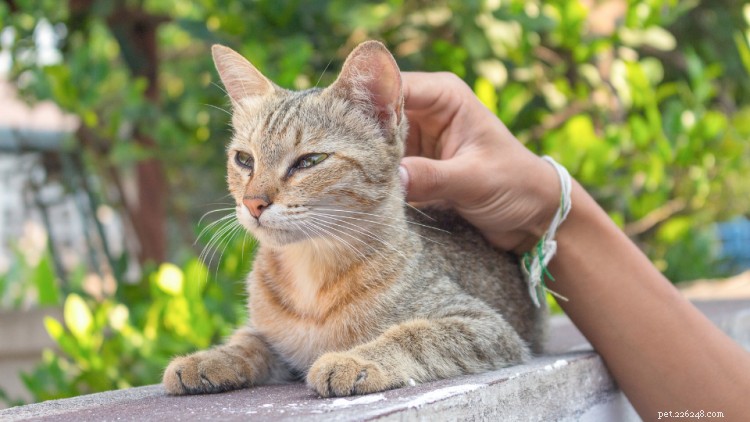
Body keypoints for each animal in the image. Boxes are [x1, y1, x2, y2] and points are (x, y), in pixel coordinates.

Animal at [163, 40, 548, 398]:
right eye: (244, 159)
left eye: (310, 161)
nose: (253, 202)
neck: (310, 277)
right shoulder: (272, 340)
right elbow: (248, 342)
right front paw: (209, 358)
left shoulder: (486, 326)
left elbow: (417, 334)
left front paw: (356, 359)